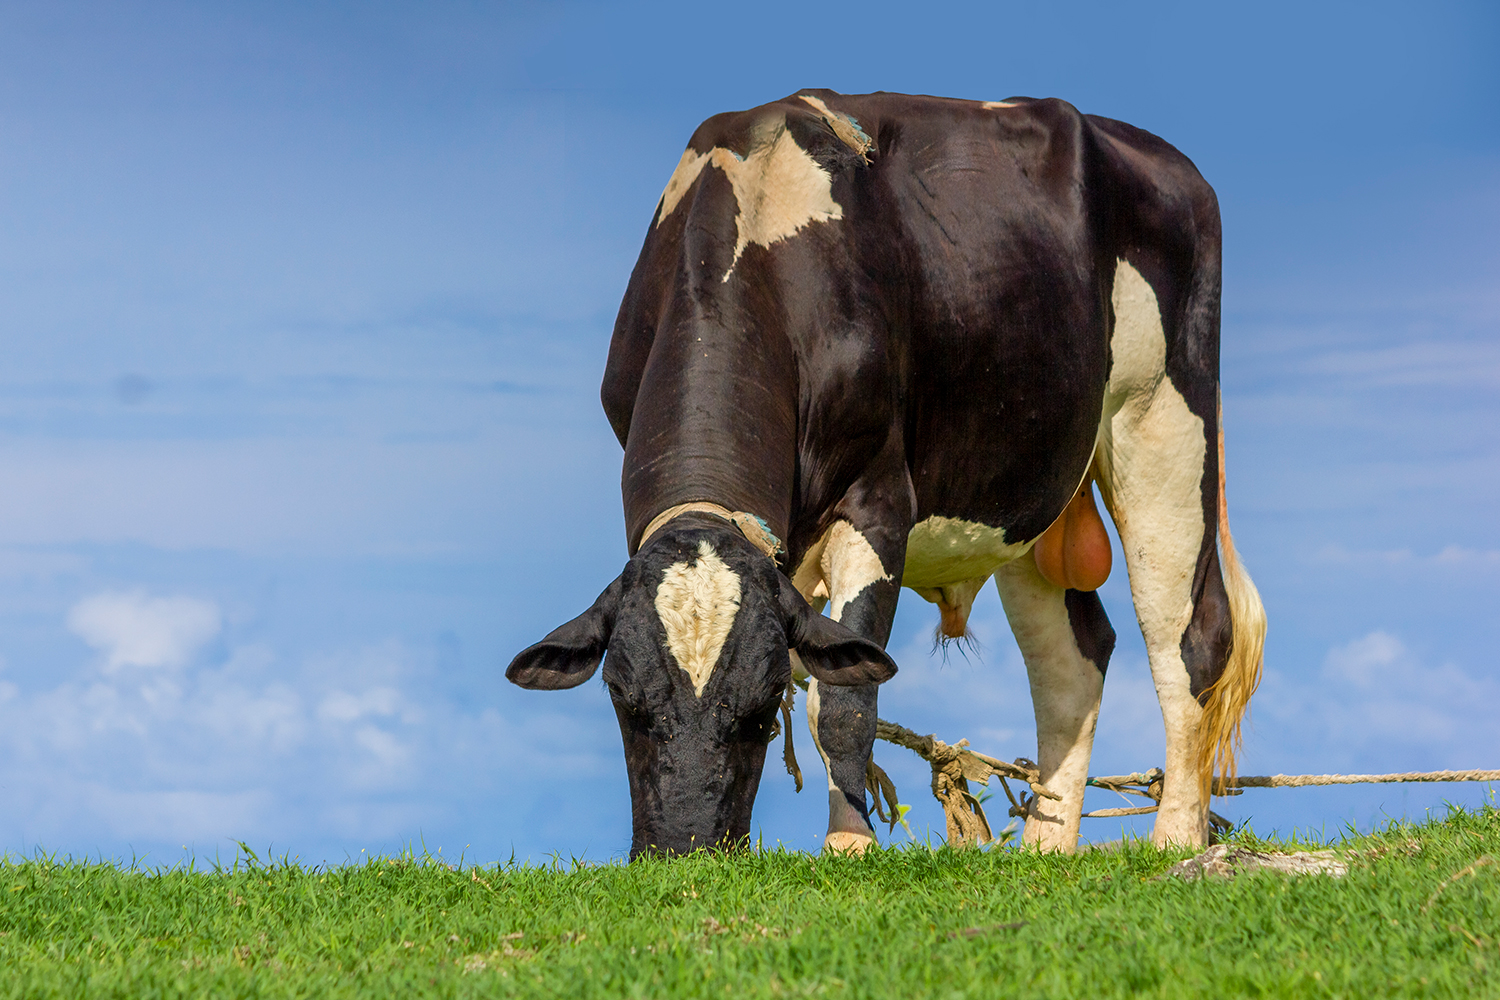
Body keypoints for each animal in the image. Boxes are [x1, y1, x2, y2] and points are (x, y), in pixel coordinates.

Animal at [507, 90, 1266, 858]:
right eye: (622, 696)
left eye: (760, 708)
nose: (683, 852)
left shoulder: (875, 500)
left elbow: (841, 702)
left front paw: (849, 846)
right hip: (1032, 489)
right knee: (1075, 658)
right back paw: (1045, 849)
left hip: (1165, 415)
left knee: (1190, 637)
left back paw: (1176, 837)